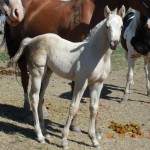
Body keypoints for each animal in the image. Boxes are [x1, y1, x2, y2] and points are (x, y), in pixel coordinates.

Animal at [2, 0, 150, 129]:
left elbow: (94, 104)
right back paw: (28, 112)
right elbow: (75, 96)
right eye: (107, 26)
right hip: (22, 56)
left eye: (122, 26)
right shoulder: (80, 76)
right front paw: (74, 124)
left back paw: (41, 111)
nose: (114, 44)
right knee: (25, 80)